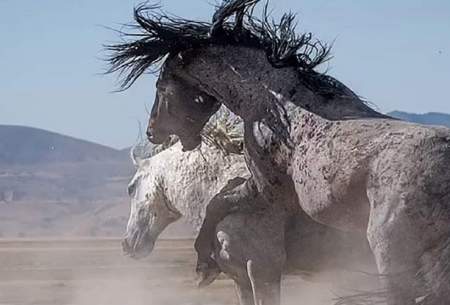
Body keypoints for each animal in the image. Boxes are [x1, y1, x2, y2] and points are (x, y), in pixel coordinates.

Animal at [108, 1, 450, 302]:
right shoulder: (241, 276)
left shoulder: (264, 243)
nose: (152, 131)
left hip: (391, 255)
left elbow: (218, 204)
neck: (274, 104)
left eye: (161, 87)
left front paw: (202, 263)